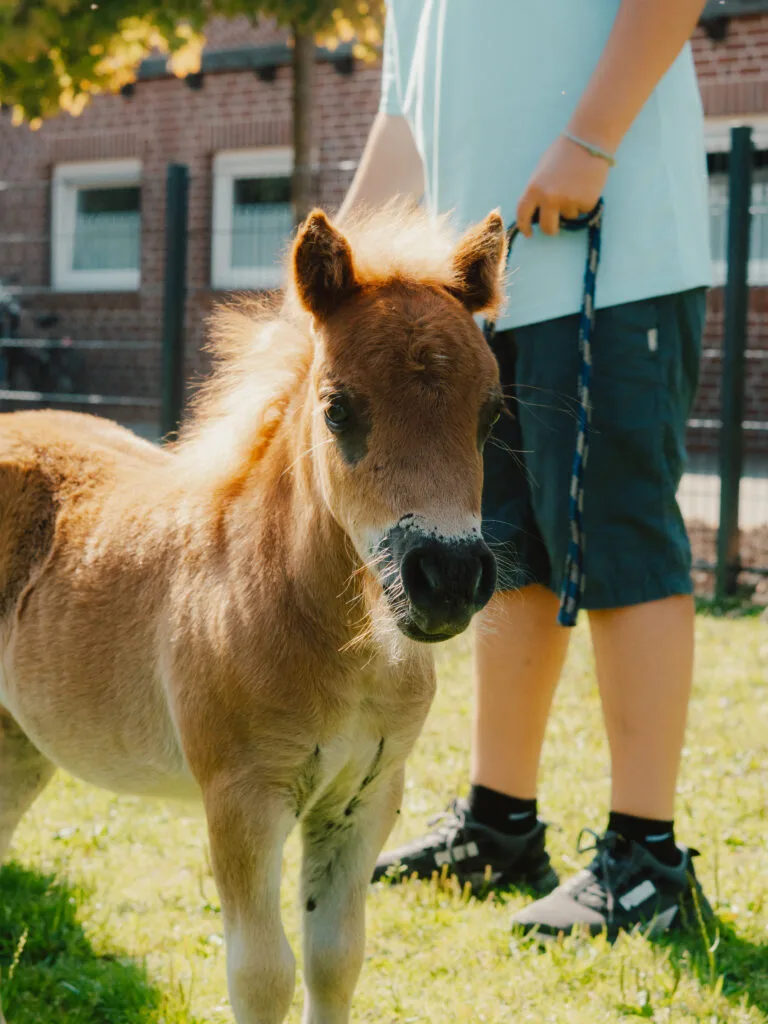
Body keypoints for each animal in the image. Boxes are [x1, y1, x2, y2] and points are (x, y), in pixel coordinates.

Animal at [0, 204, 506, 1024]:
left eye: (491, 415)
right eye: (338, 409)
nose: (448, 578)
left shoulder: (365, 799)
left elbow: (335, 960)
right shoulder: (242, 800)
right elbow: (264, 976)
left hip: (19, 737)